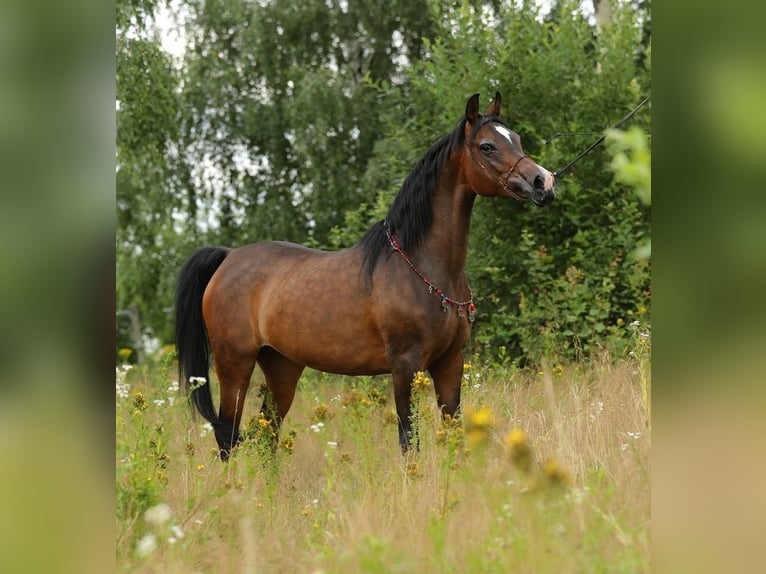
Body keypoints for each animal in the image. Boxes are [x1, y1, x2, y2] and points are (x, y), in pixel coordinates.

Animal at [177, 92, 556, 462]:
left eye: (516, 139)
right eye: (487, 146)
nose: (543, 182)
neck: (423, 267)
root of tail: (229, 257)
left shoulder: (450, 363)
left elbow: (454, 435)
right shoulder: (405, 366)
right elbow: (409, 441)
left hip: (282, 367)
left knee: (267, 435)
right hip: (234, 364)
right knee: (227, 437)